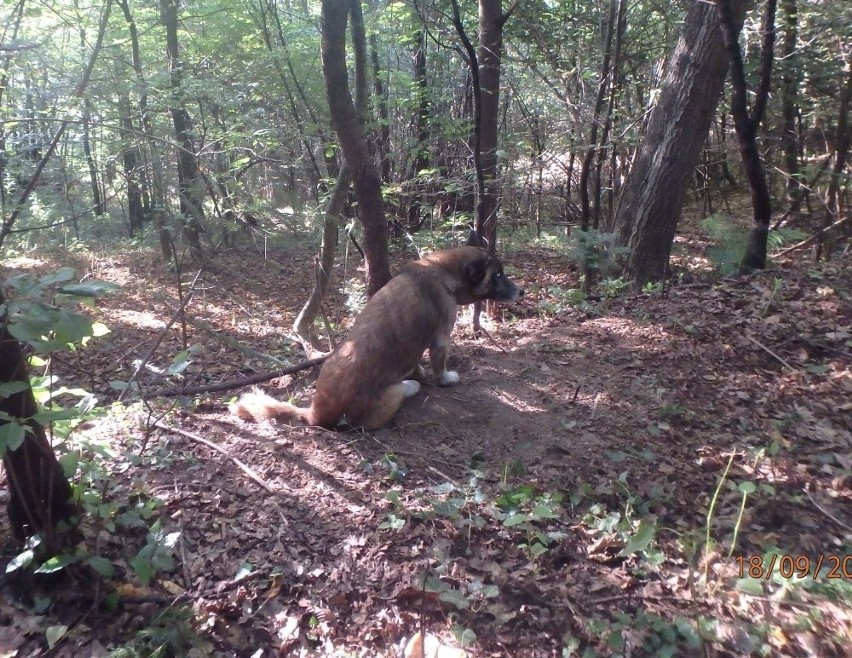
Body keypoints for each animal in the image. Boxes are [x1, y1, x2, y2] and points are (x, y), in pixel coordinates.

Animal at [235, 246, 524, 430]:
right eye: (497, 275)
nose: (521, 291)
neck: (443, 271)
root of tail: (317, 413)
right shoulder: (442, 338)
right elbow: (439, 368)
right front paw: (444, 379)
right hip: (391, 394)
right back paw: (410, 386)